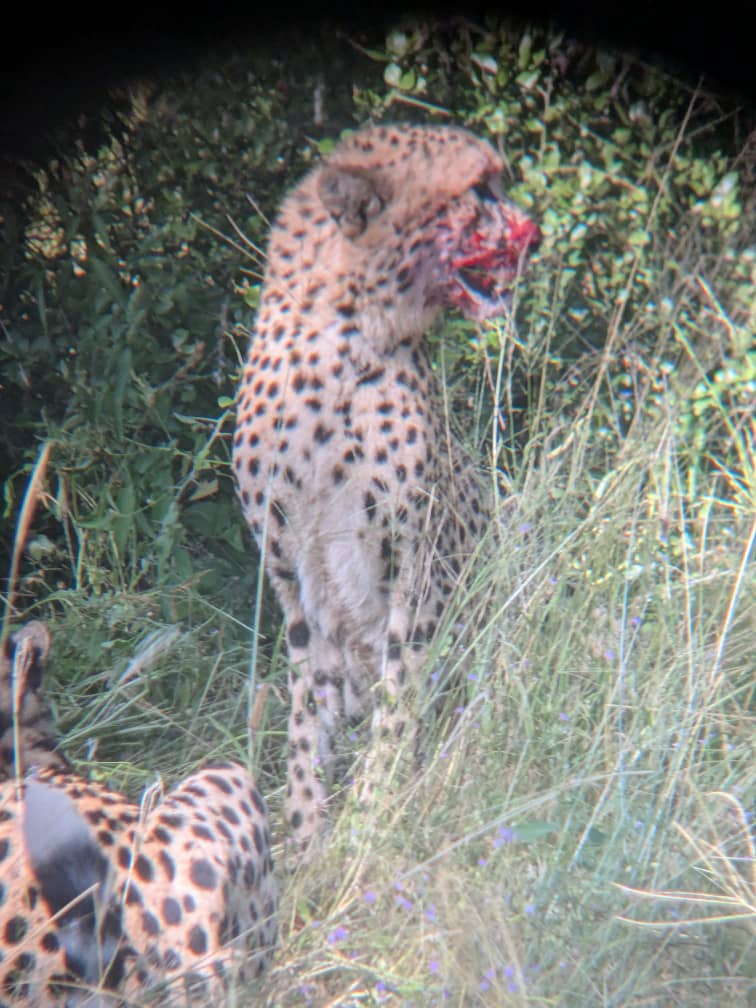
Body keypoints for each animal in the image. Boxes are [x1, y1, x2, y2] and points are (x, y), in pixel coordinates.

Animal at [233, 123, 540, 849]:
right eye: (479, 190)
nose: (535, 233)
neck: (345, 334)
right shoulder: (294, 581)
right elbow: (305, 715)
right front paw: (306, 834)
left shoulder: (418, 566)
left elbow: (400, 696)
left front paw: (372, 817)